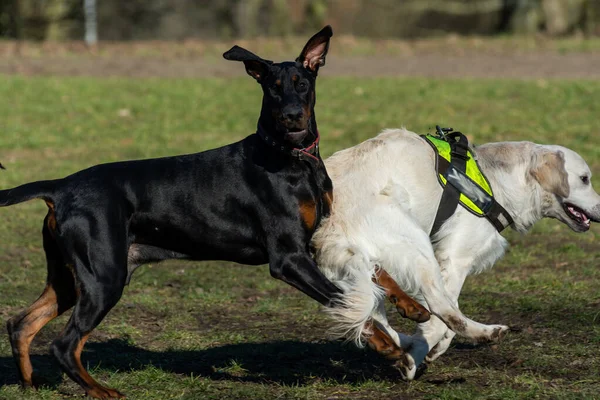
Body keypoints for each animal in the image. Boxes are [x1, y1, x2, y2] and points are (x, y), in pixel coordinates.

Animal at [0, 26, 340, 398]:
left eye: (302, 83)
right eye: (273, 88)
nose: (292, 115)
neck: (291, 156)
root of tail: (60, 187)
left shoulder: (311, 248)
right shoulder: (289, 258)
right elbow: (352, 304)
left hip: (70, 275)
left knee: (21, 323)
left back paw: (30, 383)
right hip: (104, 276)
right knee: (64, 344)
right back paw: (101, 390)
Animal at [314, 128, 600, 378]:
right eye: (585, 179)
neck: (493, 182)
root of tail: (330, 226)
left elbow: (447, 311)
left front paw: (430, 347)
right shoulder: (455, 258)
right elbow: (443, 313)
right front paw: (420, 352)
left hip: (357, 272)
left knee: (375, 318)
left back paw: (402, 346)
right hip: (414, 243)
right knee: (438, 306)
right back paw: (485, 333)